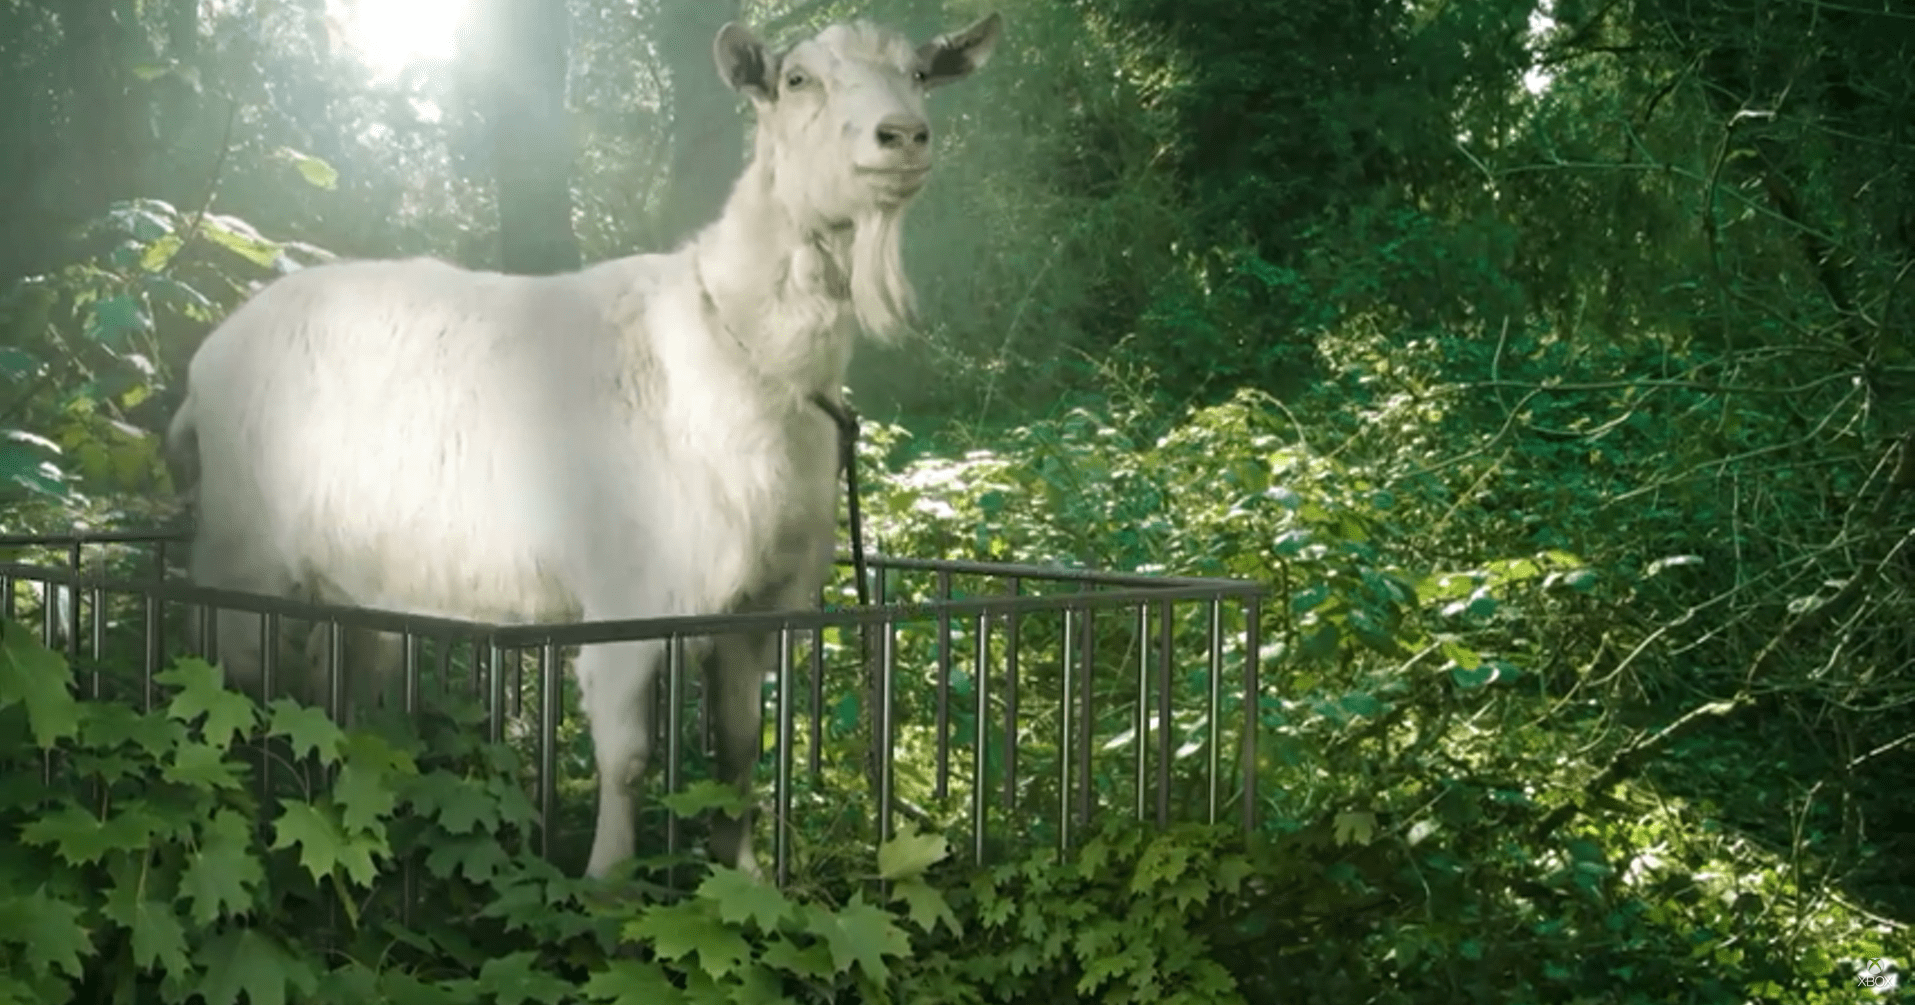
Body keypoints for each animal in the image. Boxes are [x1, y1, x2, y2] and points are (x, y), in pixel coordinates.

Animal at [165, 13, 1001, 878]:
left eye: (919, 74)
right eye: (798, 80)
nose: (902, 135)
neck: (735, 344)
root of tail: (206, 362)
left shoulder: (758, 608)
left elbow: (739, 749)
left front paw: (741, 872)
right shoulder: (628, 595)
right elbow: (627, 756)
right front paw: (606, 878)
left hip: (351, 578)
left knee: (337, 686)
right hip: (241, 553)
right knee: (232, 674)